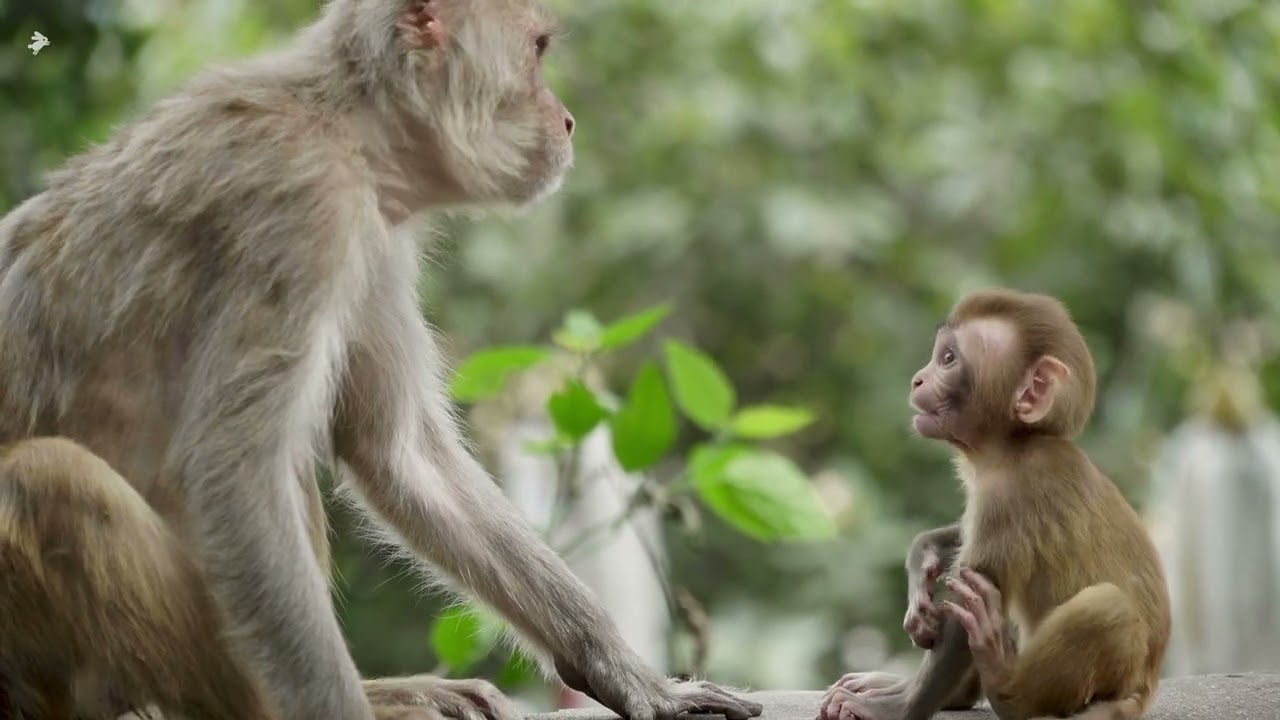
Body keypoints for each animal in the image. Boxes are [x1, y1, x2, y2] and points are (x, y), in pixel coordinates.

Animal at [0, 0, 766, 718]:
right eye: (537, 51)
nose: (569, 120)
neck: (347, 124)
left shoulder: (373, 234)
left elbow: (394, 450)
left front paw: (619, 669)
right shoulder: (302, 203)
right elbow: (234, 471)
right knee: (52, 479)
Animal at [819, 288, 1172, 720]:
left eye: (948, 359)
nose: (918, 378)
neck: (1010, 445)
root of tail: (1145, 688)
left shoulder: (1008, 496)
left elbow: (971, 596)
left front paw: (897, 707)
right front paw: (923, 562)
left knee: (1106, 608)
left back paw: (1005, 686)